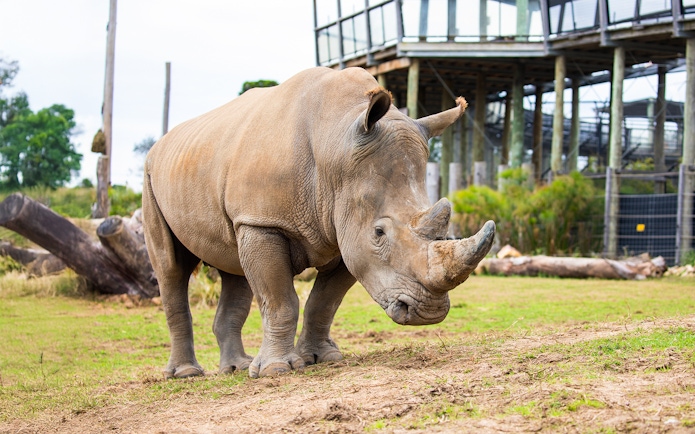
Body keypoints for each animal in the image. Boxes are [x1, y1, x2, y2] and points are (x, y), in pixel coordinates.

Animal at [142, 66, 495, 379]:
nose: (427, 312)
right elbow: (280, 300)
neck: (336, 147)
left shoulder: (345, 232)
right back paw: (186, 374)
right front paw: (275, 370)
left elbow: (324, 301)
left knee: (234, 269)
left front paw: (321, 358)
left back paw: (236, 368)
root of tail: (161, 144)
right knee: (171, 269)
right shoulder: (263, 223)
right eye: (379, 233)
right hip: (152, 175)